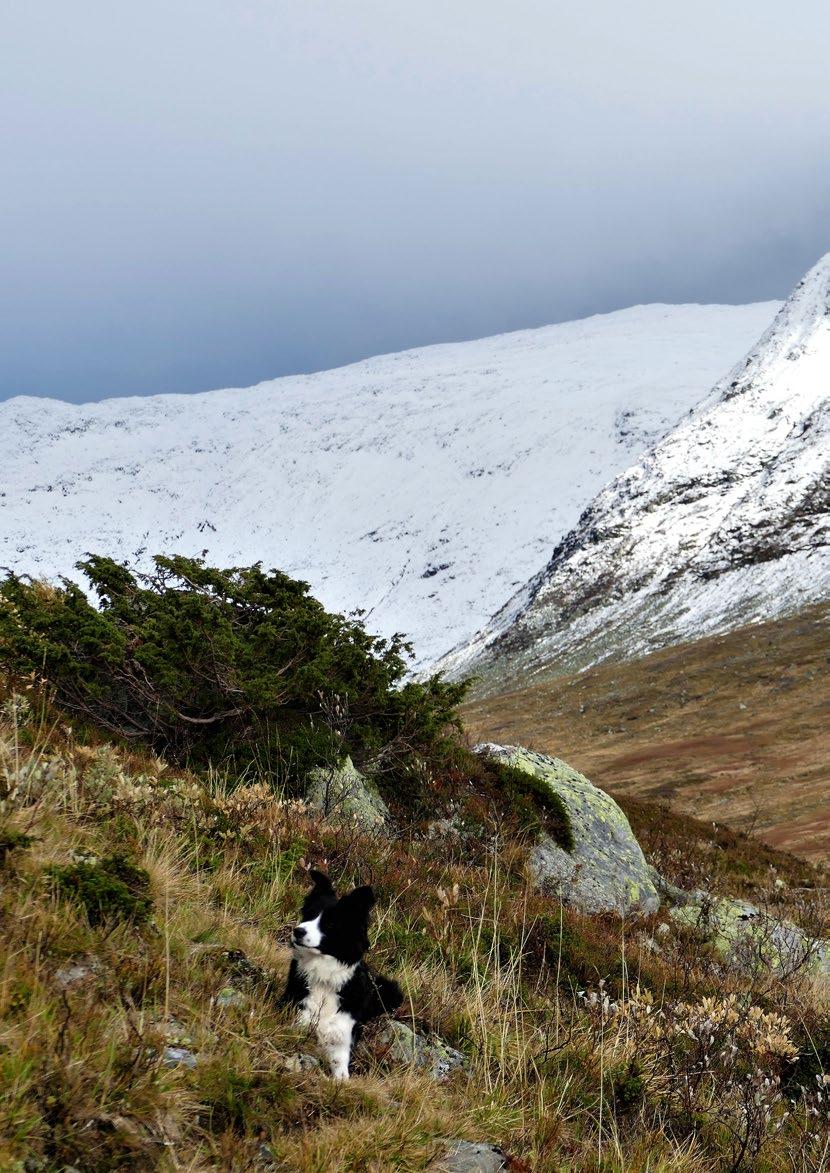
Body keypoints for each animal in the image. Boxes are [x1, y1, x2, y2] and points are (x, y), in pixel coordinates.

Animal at [280, 868, 403, 1074]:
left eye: (330, 924)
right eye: (308, 915)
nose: (298, 931)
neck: (324, 978)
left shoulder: (341, 1041)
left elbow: (341, 1073)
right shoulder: (298, 1018)